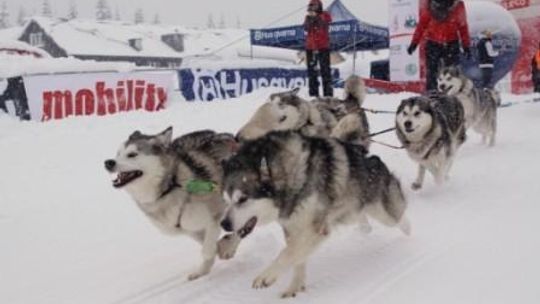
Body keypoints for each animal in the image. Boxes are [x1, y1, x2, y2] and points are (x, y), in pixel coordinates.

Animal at [104, 127, 243, 280]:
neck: (169, 187)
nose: (108, 162)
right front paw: (203, 270)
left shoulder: (215, 215)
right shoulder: (189, 229)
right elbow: (209, 246)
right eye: (118, 154)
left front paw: (225, 248)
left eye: (132, 154)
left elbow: (208, 248)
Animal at [219, 130, 410, 296]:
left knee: (400, 216)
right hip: (352, 211)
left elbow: (288, 253)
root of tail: (371, 158)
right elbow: (296, 257)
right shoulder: (293, 227)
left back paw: (409, 235)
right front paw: (295, 287)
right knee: (360, 216)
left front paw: (267, 275)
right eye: (226, 200)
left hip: (385, 212)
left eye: (242, 199)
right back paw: (365, 226)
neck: (292, 175)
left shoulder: (315, 229)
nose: (224, 224)